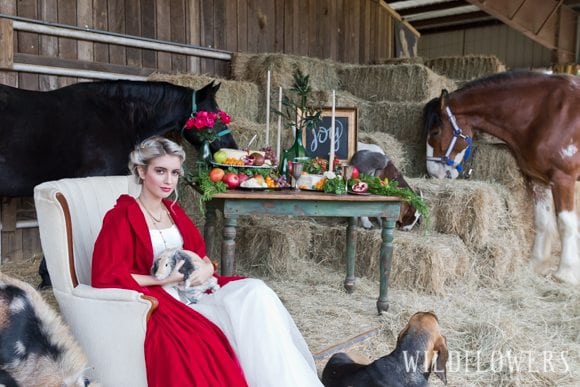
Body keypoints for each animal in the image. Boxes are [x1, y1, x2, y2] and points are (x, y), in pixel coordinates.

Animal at [422, 71, 580, 286]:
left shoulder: (564, 179)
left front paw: (566, 273)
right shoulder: (539, 179)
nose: (433, 173)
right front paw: (537, 264)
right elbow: (543, 221)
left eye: (435, 132)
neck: (546, 113)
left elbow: (566, 224)